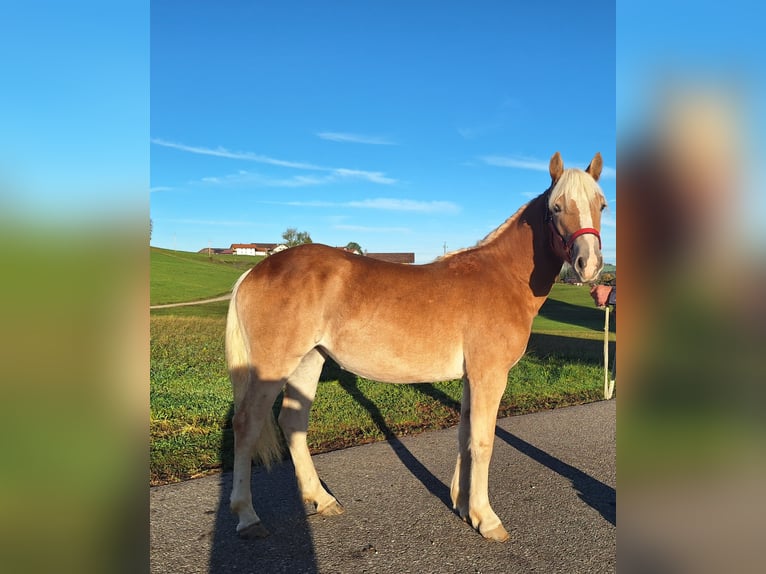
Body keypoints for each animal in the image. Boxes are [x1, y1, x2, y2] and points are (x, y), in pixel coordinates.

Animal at [225, 151, 608, 544]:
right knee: (246, 425)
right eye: (556, 207)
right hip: (273, 366)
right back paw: (247, 516)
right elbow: (483, 441)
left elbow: (465, 435)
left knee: (292, 422)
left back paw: (322, 499)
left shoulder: (472, 377)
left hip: (308, 361)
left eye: (601, 205)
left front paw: (462, 505)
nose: (590, 264)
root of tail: (256, 270)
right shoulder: (489, 375)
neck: (503, 277)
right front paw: (486, 519)